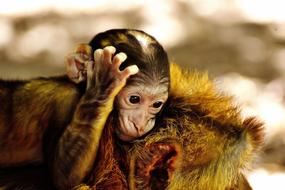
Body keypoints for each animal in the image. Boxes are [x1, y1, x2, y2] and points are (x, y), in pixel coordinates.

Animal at [0, 29, 169, 189]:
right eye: (134, 99)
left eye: (156, 104)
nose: (140, 124)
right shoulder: (64, 99)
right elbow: (64, 176)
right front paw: (104, 83)